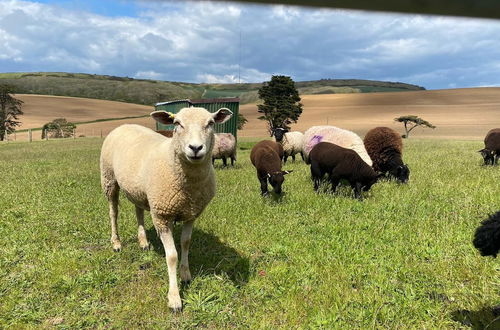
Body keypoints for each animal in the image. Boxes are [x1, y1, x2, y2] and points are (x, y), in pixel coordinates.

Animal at [101, 106, 234, 312]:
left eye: (210, 123)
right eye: (177, 123)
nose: (195, 148)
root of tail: (124, 125)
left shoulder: (190, 213)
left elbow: (186, 243)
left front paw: (186, 275)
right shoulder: (162, 216)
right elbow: (171, 256)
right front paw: (174, 298)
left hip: (138, 190)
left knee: (138, 211)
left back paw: (143, 242)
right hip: (109, 179)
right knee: (113, 213)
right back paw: (116, 243)